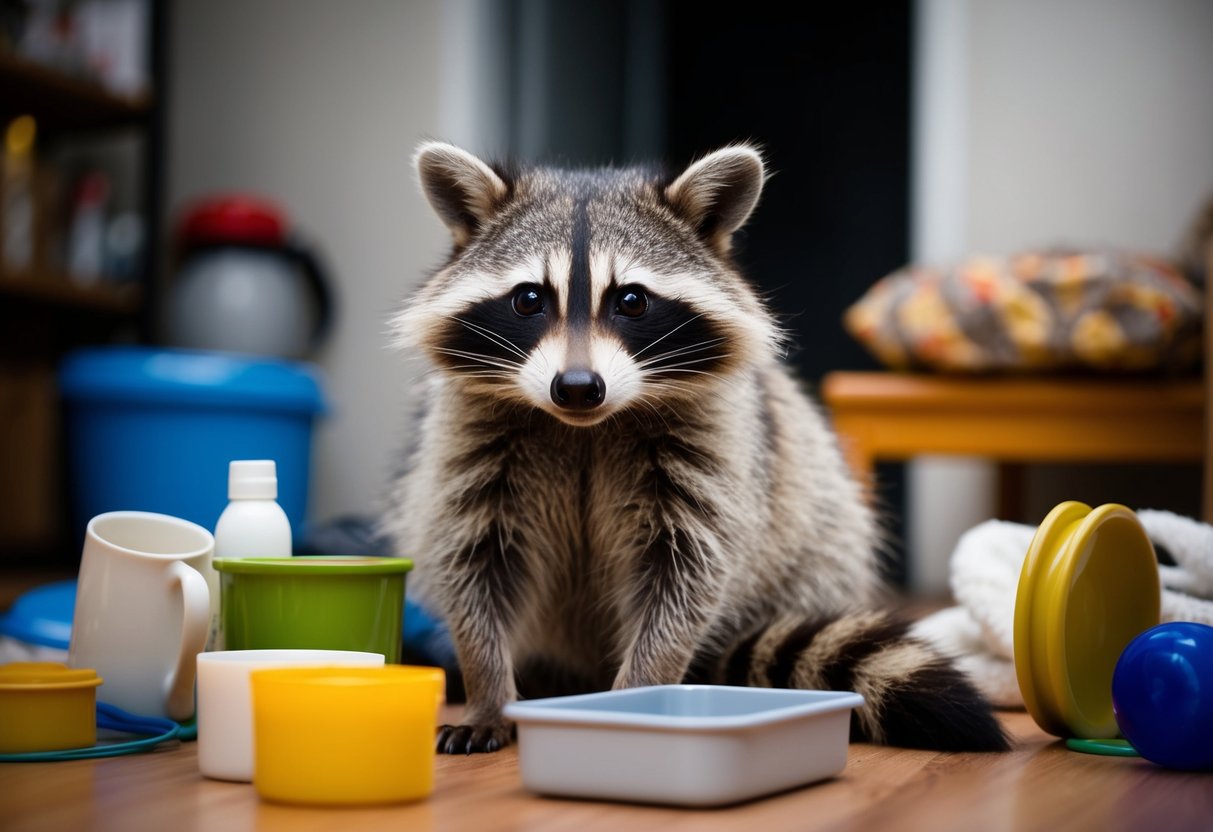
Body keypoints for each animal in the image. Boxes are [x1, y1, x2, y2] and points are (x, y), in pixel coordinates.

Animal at [387, 141, 1009, 755]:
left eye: (631, 300)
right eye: (528, 300)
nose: (579, 387)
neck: (585, 426)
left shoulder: (714, 446)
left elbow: (684, 577)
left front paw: (639, 694)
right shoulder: (470, 444)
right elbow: (474, 568)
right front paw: (487, 687)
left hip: (817, 536)